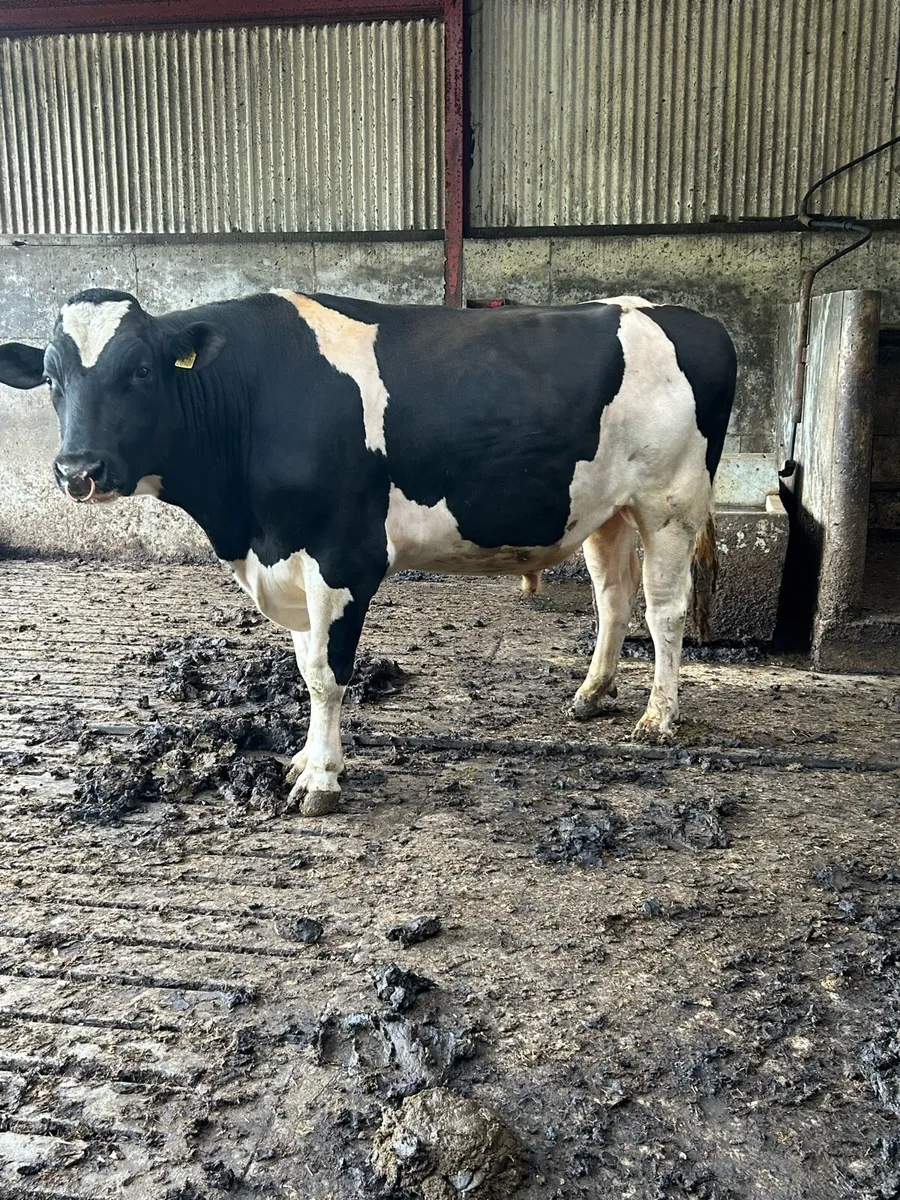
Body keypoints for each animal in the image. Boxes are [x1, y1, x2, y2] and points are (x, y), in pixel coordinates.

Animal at [0, 289, 736, 816]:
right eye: (50, 378)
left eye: (142, 370)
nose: (78, 470)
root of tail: (689, 317)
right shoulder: (290, 559)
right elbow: (304, 665)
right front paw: (303, 760)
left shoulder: (342, 553)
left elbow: (327, 675)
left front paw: (321, 781)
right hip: (607, 508)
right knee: (613, 597)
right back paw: (591, 693)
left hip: (670, 500)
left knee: (664, 611)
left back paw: (658, 717)